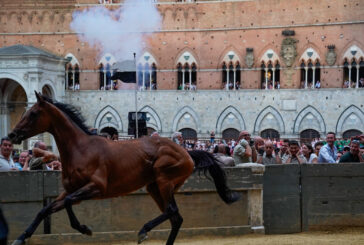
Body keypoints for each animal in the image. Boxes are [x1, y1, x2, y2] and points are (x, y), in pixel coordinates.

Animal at [8, 92, 240, 245]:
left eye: (33, 113)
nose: (12, 135)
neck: (81, 149)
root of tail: (187, 153)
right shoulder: (71, 189)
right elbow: (45, 209)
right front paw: (21, 237)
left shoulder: (96, 188)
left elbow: (67, 203)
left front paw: (85, 229)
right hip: (154, 187)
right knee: (175, 217)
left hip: (164, 181)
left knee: (172, 211)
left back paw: (143, 230)